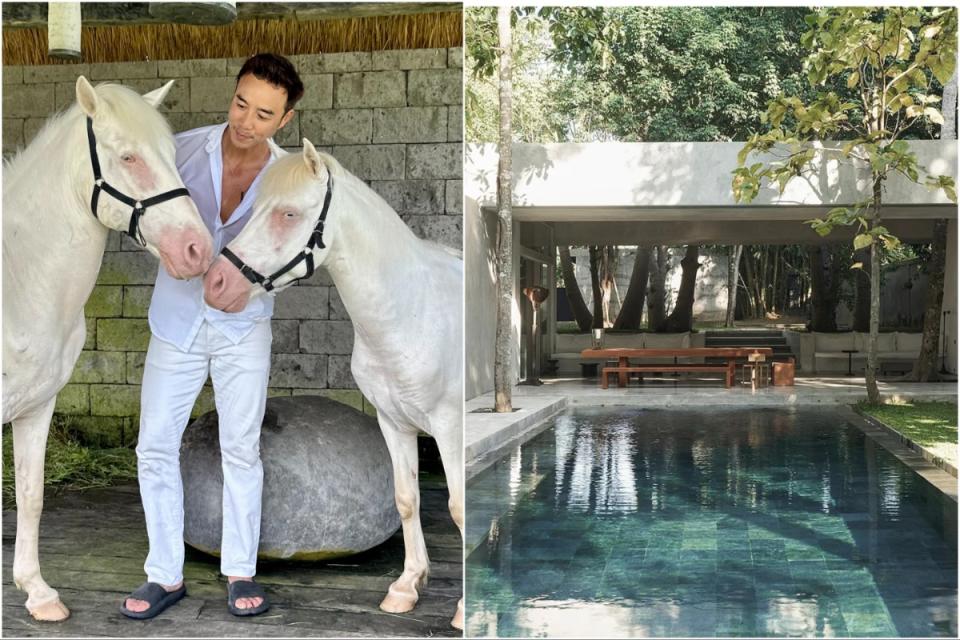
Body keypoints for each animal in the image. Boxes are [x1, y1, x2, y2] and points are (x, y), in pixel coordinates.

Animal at [3, 75, 214, 620]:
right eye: (128, 157)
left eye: (171, 154)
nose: (197, 250)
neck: (17, 278)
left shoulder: (36, 406)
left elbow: (31, 495)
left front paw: (39, 593)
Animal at [204, 139, 466, 632]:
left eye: (289, 213)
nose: (216, 283)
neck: (411, 310)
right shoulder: (394, 422)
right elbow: (407, 498)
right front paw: (407, 586)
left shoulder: (448, 429)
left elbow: (459, 507)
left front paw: (463, 610)